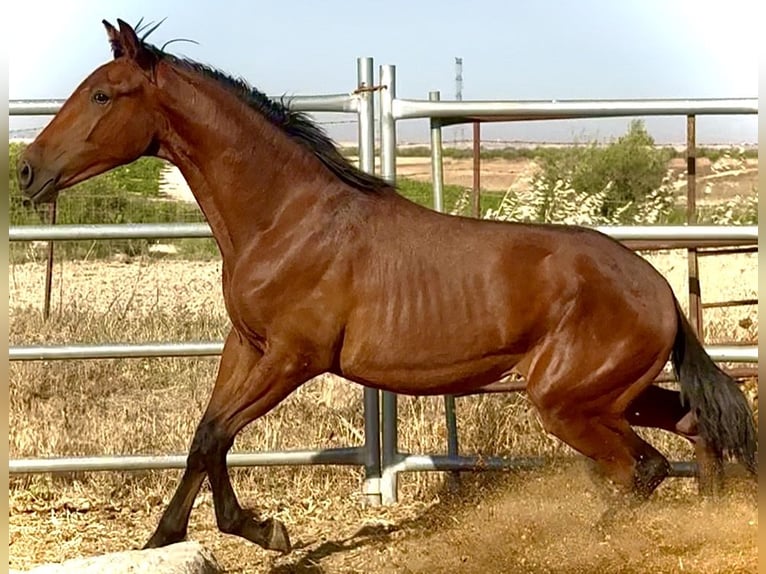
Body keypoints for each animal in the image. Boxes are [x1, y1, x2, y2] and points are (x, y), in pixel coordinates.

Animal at [17, 19, 756, 554]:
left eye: (102, 94)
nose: (26, 171)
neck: (286, 218)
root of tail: (660, 290)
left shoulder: (293, 358)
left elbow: (216, 433)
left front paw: (250, 532)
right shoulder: (247, 345)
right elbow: (207, 435)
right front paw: (208, 534)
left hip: (569, 402)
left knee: (643, 469)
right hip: (610, 395)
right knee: (695, 427)